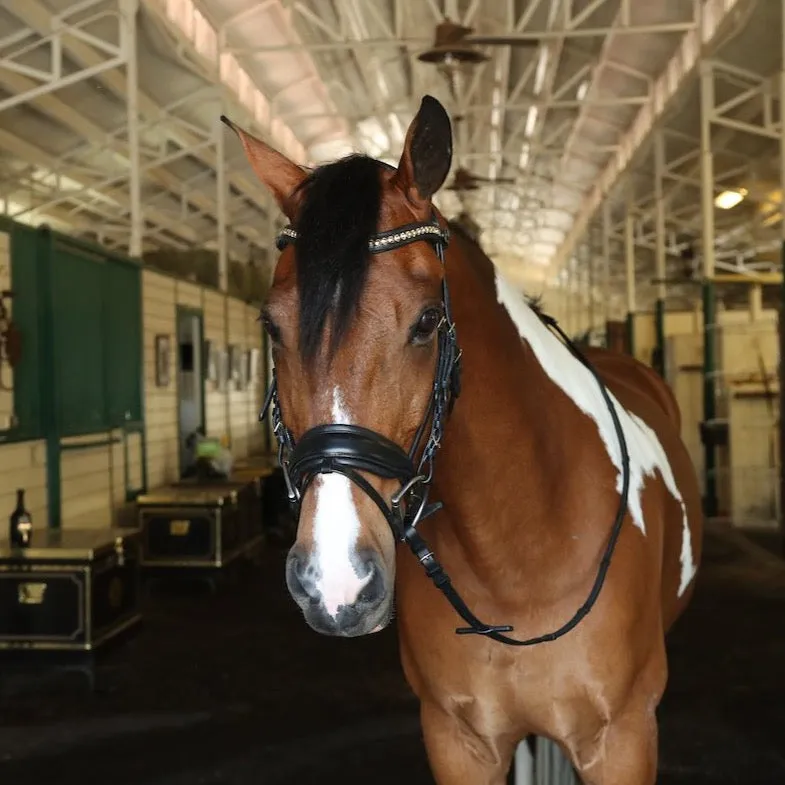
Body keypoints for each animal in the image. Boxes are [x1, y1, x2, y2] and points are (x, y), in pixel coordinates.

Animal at [224, 95, 700, 780]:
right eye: (271, 328)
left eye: (427, 322)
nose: (336, 582)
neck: (519, 562)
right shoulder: (458, 740)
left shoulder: (624, 740)